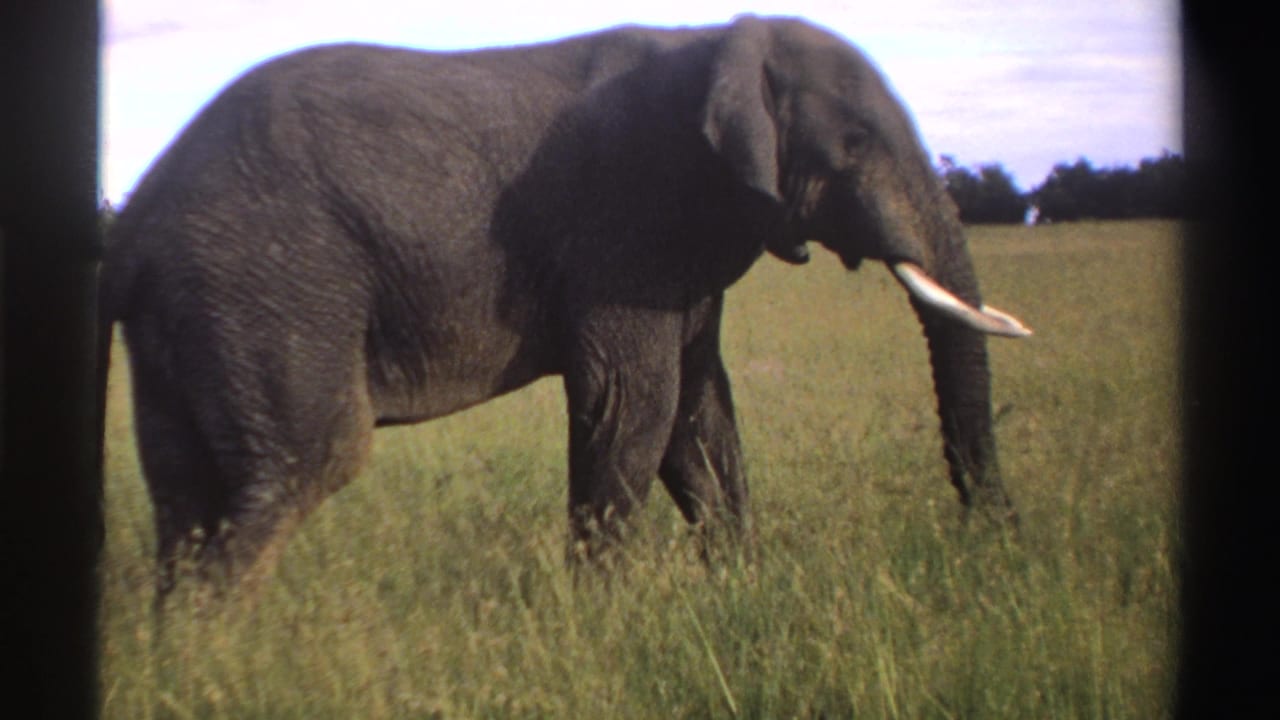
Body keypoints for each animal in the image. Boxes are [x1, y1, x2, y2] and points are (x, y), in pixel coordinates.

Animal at [101, 15, 1030, 603]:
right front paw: (601, 620)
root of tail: (135, 219)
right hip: (268, 287)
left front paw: (743, 590)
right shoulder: (626, 226)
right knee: (306, 462)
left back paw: (183, 652)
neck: (717, 45)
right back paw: (225, 653)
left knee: (187, 493)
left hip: (198, 309)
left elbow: (701, 417)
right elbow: (636, 406)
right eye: (857, 144)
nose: (994, 546)